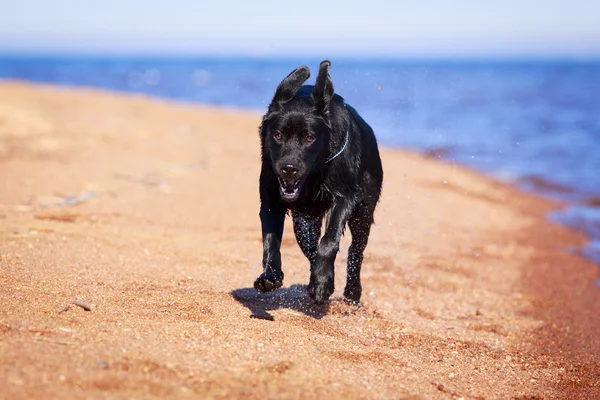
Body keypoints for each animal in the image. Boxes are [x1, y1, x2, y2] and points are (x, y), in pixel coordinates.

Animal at [254, 58, 384, 304]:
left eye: (309, 138)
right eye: (277, 135)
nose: (289, 168)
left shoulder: (344, 197)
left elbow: (329, 240)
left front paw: (322, 283)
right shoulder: (272, 199)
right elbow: (270, 240)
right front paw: (270, 275)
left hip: (363, 209)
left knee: (356, 250)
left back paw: (352, 292)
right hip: (304, 219)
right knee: (309, 246)